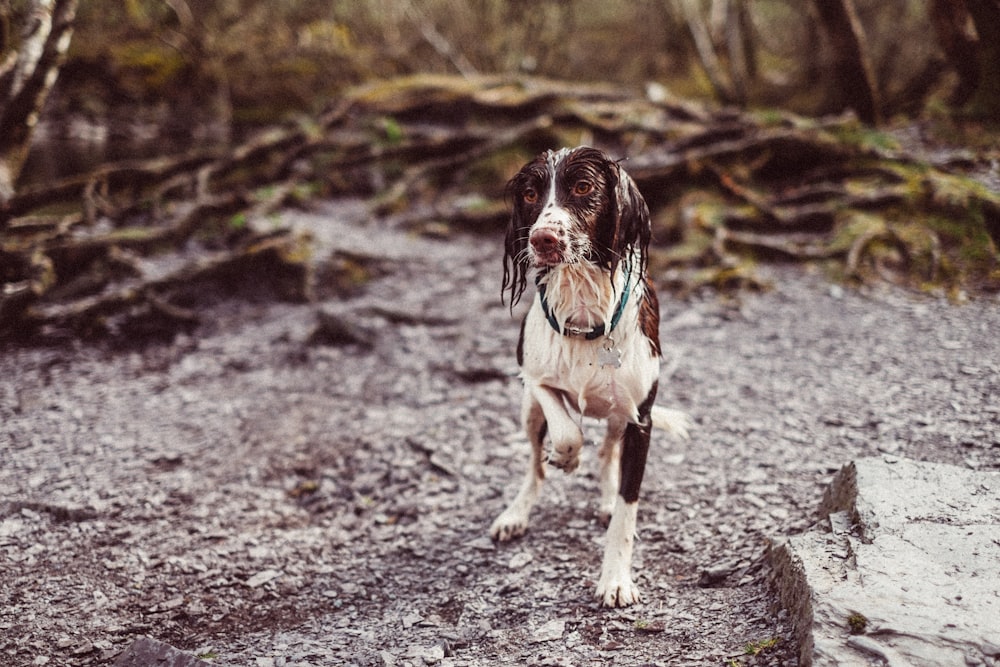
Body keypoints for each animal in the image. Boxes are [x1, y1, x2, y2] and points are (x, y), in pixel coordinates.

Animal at [490, 147, 692, 612]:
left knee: (607, 456)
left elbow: (626, 509)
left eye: (583, 187)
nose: (542, 239)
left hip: (619, 420)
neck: (583, 309)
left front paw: (615, 580)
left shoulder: (640, 420)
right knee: (534, 466)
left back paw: (604, 497)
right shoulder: (532, 377)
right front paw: (567, 457)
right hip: (528, 414)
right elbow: (566, 429)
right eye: (530, 194)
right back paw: (516, 512)